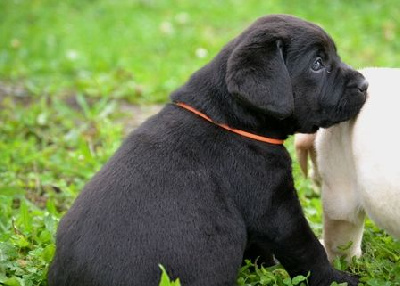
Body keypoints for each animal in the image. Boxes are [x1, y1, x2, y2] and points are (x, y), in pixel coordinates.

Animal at [48, 14, 368, 284]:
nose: (365, 83)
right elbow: (305, 248)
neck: (226, 118)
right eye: (317, 63)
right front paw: (337, 278)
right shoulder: (275, 206)